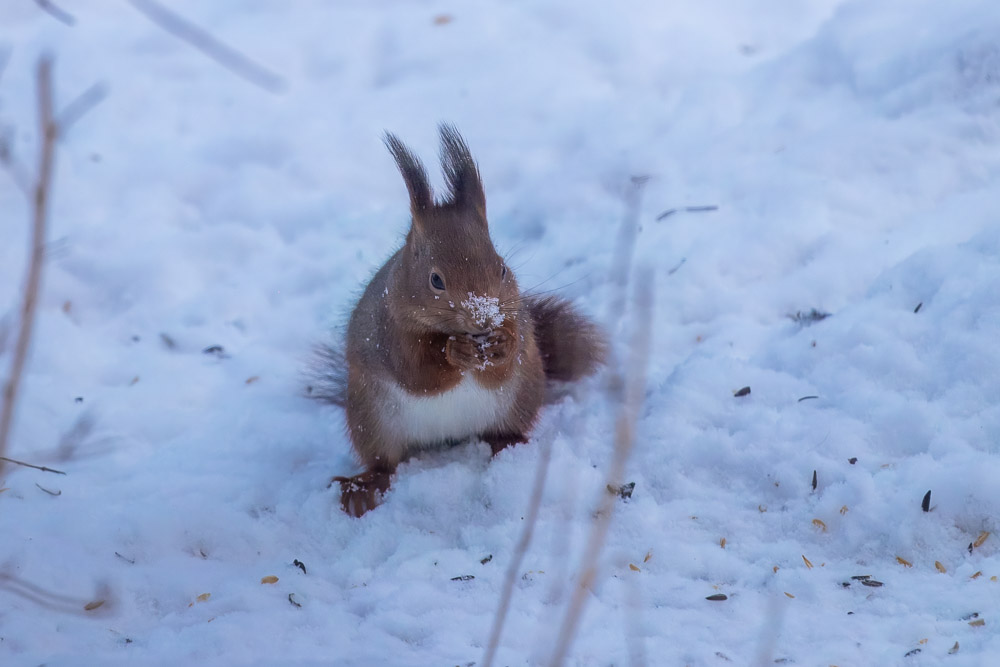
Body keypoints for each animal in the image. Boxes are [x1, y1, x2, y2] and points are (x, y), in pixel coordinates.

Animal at [324, 128, 604, 520]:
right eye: (435, 280)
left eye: (502, 268)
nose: (483, 316)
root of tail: (449, 436)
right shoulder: (390, 333)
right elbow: (418, 373)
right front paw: (453, 352)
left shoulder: (517, 324)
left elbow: (504, 365)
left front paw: (501, 346)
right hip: (370, 419)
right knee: (384, 463)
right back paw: (362, 489)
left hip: (521, 398)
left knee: (503, 430)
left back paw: (512, 449)